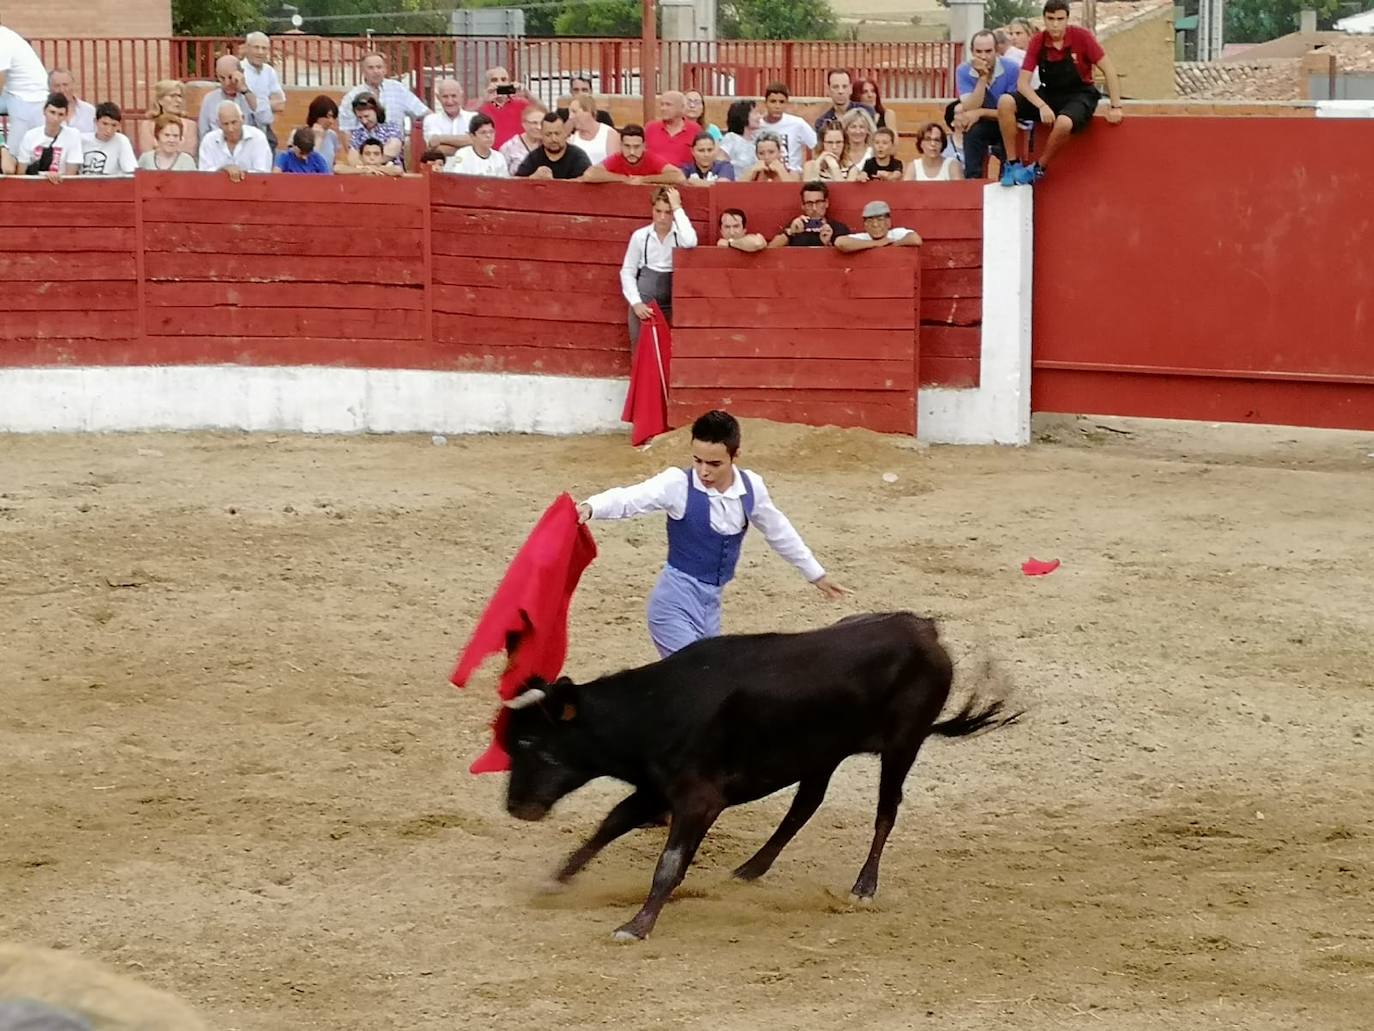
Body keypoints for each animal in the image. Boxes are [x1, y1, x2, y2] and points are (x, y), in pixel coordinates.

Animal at [500, 613, 1016, 945]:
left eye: (532, 745)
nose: (516, 807)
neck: (656, 708)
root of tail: (923, 629)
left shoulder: (697, 800)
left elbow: (669, 863)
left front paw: (636, 926)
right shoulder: (655, 789)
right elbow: (610, 824)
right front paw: (556, 880)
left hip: (902, 746)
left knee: (885, 810)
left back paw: (863, 888)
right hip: (822, 754)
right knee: (805, 806)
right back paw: (751, 868)